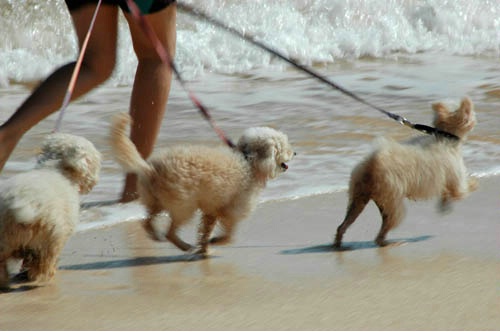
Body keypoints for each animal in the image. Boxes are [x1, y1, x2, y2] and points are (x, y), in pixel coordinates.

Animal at [0, 134, 101, 290]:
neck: (55, 169)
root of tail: (23, 202)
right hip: (49, 238)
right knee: (43, 264)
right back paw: (43, 279)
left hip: (4, 239)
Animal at [111, 113, 294, 255]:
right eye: (283, 147)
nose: (295, 152)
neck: (248, 160)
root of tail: (151, 169)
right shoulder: (231, 210)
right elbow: (229, 235)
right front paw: (215, 242)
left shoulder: (212, 210)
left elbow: (206, 231)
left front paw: (205, 248)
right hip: (184, 206)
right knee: (169, 232)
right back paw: (184, 246)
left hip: (156, 201)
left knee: (148, 221)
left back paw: (156, 235)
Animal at [334, 97, 478, 248]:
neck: (445, 136)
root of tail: (372, 166)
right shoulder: (456, 180)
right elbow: (462, 190)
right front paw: (474, 182)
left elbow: (447, 194)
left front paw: (444, 205)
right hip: (393, 203)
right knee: (381, 233)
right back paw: (392, 243)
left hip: (358, 198)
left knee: (343, 225)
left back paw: (338, 243)